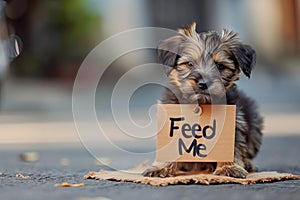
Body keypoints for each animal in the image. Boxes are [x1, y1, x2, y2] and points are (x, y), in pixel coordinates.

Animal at [143, 22, 262, 179]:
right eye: (190, 64)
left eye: (220, 66)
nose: (203, 84)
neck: (201, 103)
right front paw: (161, 167)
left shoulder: (235, 122)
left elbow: (234, 145)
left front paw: (228, 167)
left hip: (254, 120)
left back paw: (248, 163)